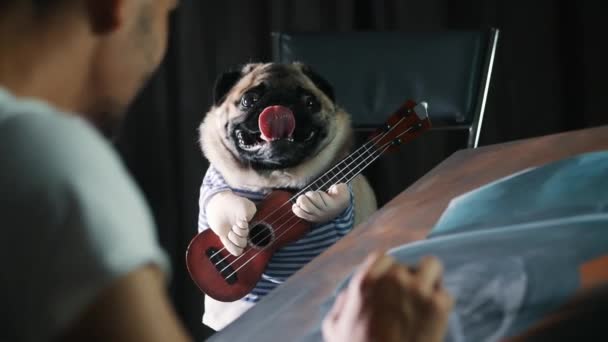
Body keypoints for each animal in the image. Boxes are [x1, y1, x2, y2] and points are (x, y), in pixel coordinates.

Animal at [197, 62, 376, 330]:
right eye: (249, 100)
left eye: (310, 102)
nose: (280, 103)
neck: (274, 177)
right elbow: (218, 198)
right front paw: (233, 222)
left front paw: (323, 204)